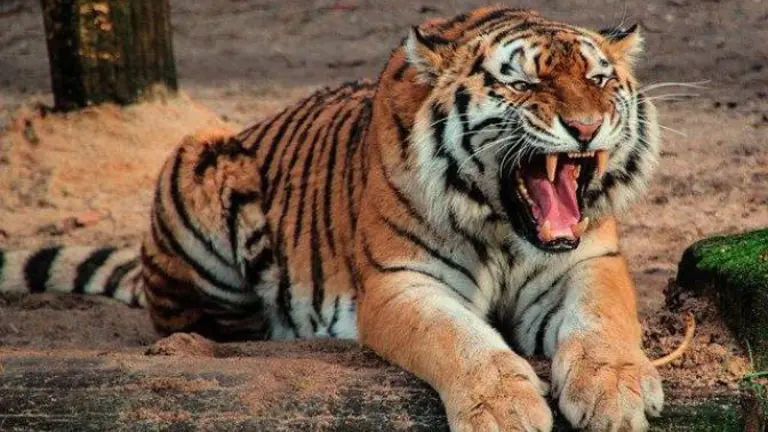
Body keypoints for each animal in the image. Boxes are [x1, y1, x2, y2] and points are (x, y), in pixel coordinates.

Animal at [0, 6, 664, 431]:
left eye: (598, 78)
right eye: (523, 83)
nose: (586, 127)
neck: (504, 228)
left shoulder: (589, 260)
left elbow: (603, 321)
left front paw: (617, 390)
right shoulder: (400, 283)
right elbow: (460, 340)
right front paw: (505, 410)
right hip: (199, 159)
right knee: (192, 323)